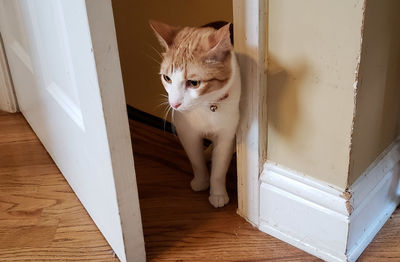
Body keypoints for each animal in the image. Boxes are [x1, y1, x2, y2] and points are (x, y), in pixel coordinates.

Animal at [148, 20, 239, 208]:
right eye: (167, 78)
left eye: (194, 83)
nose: (174, 104)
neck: (204, 107)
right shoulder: (186, 132)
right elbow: (196, 161)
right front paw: (201, 181)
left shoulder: (226, 134)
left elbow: (219, 169)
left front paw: (218, 194)